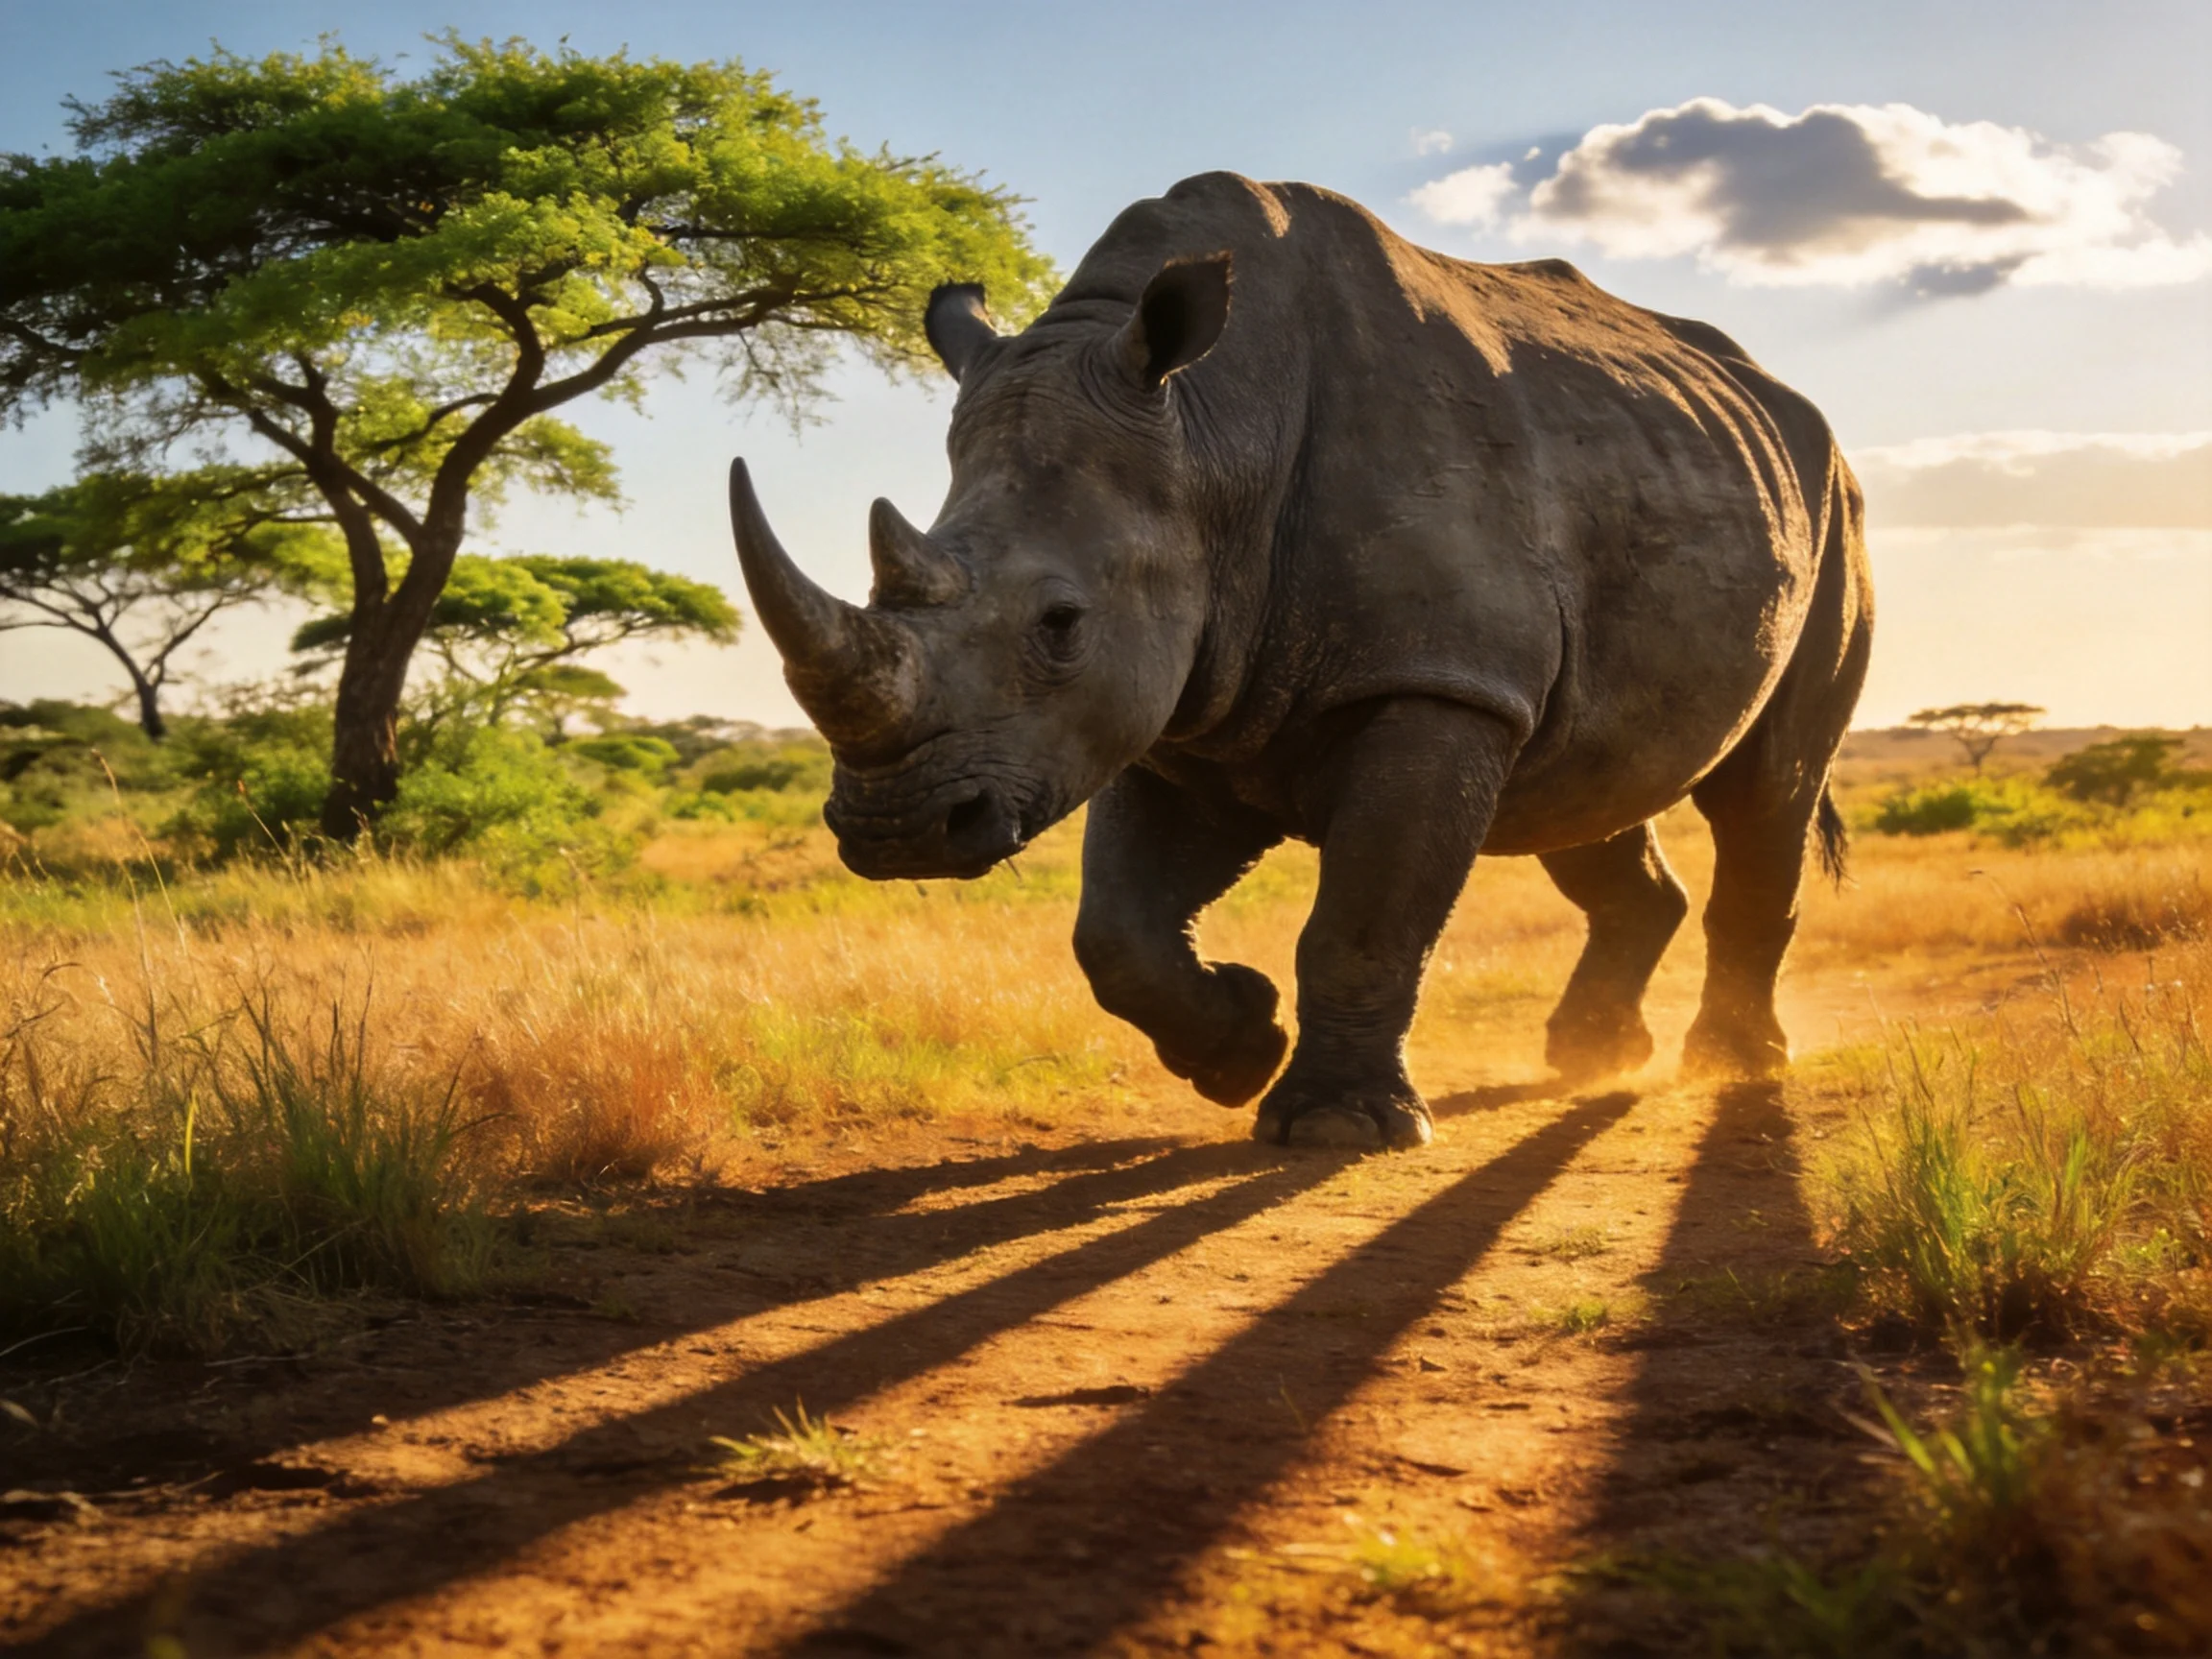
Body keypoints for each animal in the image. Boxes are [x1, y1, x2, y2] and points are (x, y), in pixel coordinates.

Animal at [728, 172, 1872, 1151]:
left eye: (1059, 623)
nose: (896, 831)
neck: (1210, 435)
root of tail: (1787, 403)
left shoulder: (1432, 678)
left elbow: (1364, 918)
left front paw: (1334, 1129)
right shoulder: (1182, 700)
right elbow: (1116, 931)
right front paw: (1241, 1048)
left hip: (1834, 513)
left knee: (1765, 789)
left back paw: (1729, 1067)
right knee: (1587, 785)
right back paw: (1590, 1059)